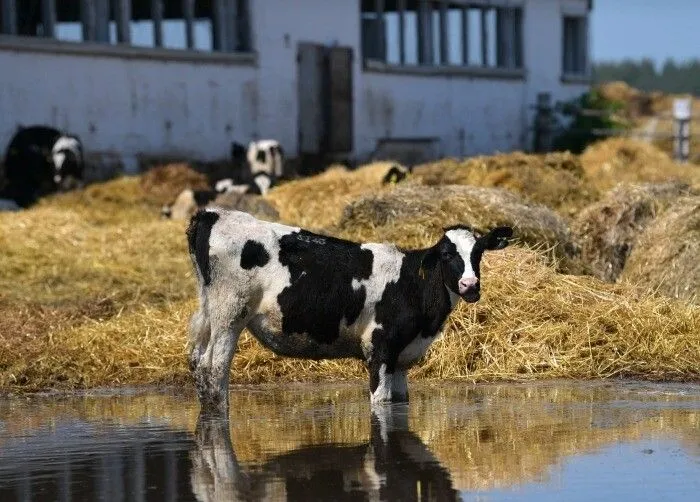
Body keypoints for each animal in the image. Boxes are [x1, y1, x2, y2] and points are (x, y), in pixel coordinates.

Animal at [186, 209, 516, 416]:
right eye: (447, 255)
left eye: (479, 253)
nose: (470, 285)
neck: (411, 284)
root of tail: (213, 214)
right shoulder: (380, 348)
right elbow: (381, 403)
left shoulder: (401, 357)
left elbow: (400, 403)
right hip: (230, 314)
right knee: (214, 369)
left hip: (210, 314)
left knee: (197, 362)